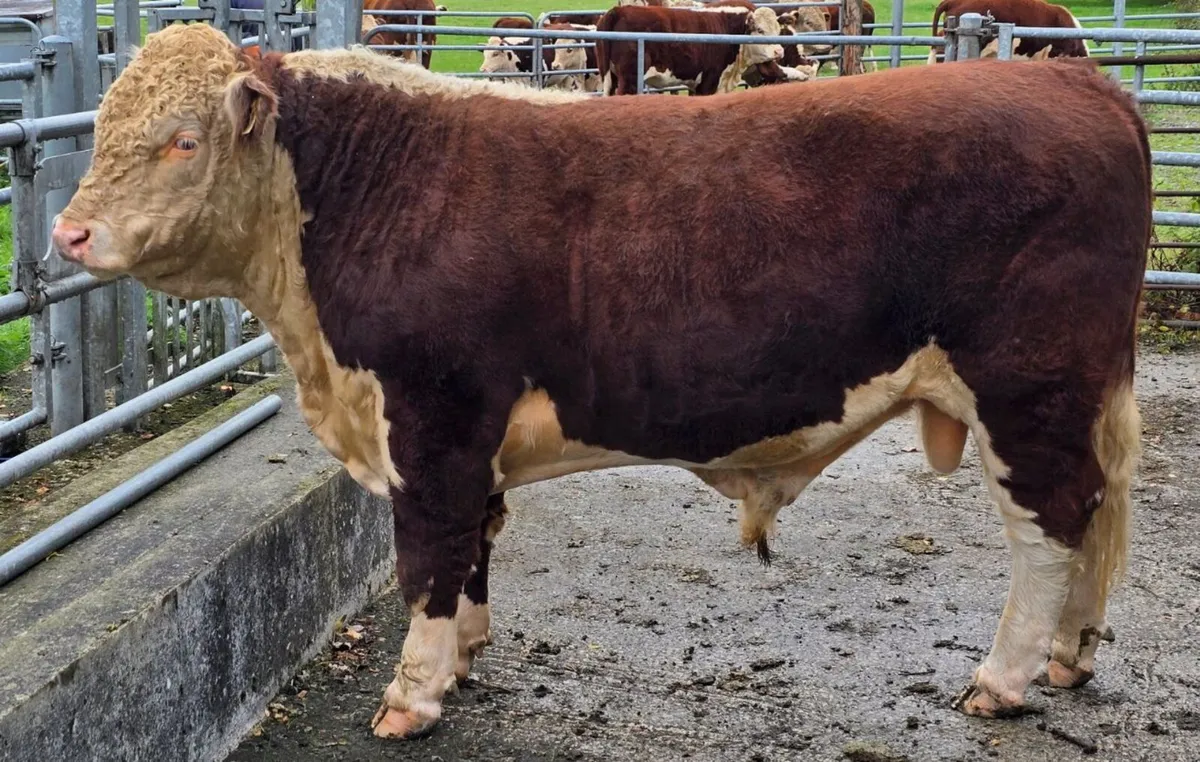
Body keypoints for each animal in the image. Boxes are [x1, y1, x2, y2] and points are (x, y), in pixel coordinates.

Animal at [52, 21, 1150, 744]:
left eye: (183, 139)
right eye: (101, 129)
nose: (67, 233)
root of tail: (1085, 90)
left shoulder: (433, 420)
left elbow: (428, 556)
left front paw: (411, 695)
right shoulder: (470, 439)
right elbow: (472, 551)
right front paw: (467, 656)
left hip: (1028, 390)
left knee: (1052, 527)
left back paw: (1004, 677)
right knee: (1096, 514)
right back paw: (1072, 653)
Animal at [595, 2, 788, 95]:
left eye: (778, 31)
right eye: (760, 30)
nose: (779, 52)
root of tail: (617, 11)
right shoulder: (709, 81)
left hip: (610, 77)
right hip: (630, 78)